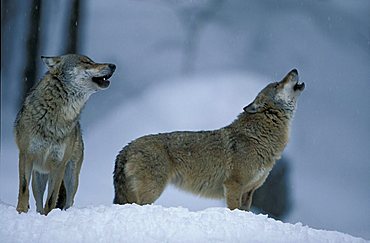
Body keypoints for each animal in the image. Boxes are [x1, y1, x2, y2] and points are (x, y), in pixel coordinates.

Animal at [14, 53, 115, 215]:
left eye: (91, 61)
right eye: (86, 62)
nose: (113, 66)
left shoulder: (58, 165)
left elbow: (51, 199)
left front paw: (49, 216)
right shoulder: (25, 155)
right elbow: (24, 189)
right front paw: (21, 212)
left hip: (71, 178)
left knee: (69, 201)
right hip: (39, 177)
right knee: (38, 201)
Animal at [113, 69, 304, 211]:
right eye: (278, 84)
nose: (294, 69)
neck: (259, 135)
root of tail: (126, 147)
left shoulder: (249, 191)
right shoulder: (233, 185)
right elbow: (233, 209)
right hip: (152, 191)